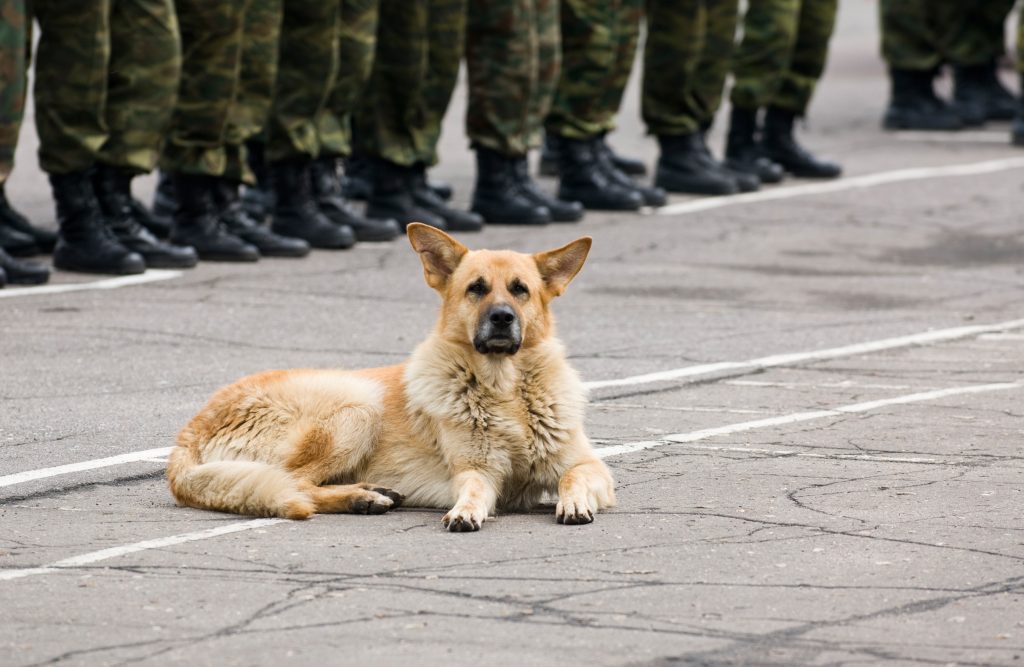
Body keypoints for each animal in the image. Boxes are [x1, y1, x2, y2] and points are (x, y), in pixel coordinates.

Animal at [167, 224, 614, 532]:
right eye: (476, 288)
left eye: (520, 290)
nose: (502, 318)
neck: (503, 390)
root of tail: (191, 429)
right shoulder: (478, 472)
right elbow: (472, 490)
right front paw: (465, 511)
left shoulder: (591, 467)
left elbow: (572, 476)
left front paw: (574, 503)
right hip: (359, 406)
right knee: (293, 484)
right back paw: (361, 498)